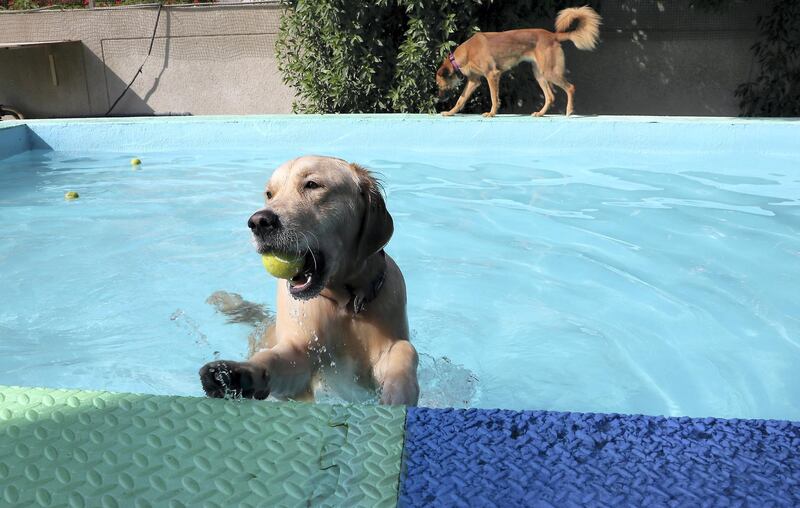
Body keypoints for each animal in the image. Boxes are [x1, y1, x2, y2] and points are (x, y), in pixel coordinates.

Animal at [199, 157, 418, 406]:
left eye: (312, 185)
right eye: (269, 194)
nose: (258, 221)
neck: (346, 304)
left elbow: (405, 349)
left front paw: (399, 390)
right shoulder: (300, 354)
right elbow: (275, 359)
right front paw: (236, 374)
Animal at [438, 6, 600, 117]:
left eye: (439, 85)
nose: (438, 100)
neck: (465, 53)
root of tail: (553, 36)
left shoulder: (492, 74)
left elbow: (494, 98)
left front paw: (491, 113)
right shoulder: (474, 81)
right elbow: (461, 99)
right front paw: (450, 112)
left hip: (549, 72)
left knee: (570, 88)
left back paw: (569, 111)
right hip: (540, 74)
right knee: (550, 96)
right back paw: (540, 113)